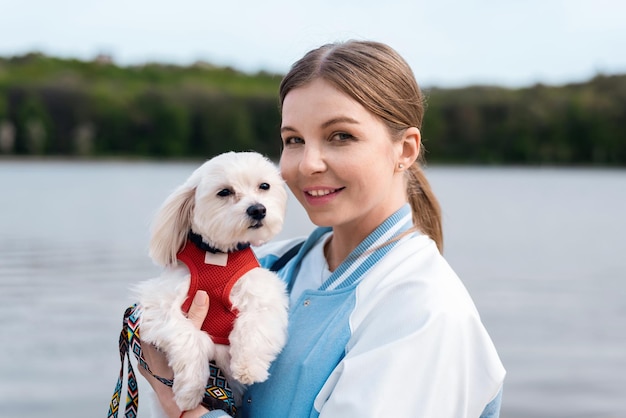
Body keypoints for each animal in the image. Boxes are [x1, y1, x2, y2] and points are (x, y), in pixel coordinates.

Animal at [135, 152, 288, 414]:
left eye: (264, 186)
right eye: (224, 192)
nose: (258, 210)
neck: (218, 255)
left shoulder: (264, 295)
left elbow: (254, 325)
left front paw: (248, 368)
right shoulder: (158, 305)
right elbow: (188, 336)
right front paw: (190, 390)